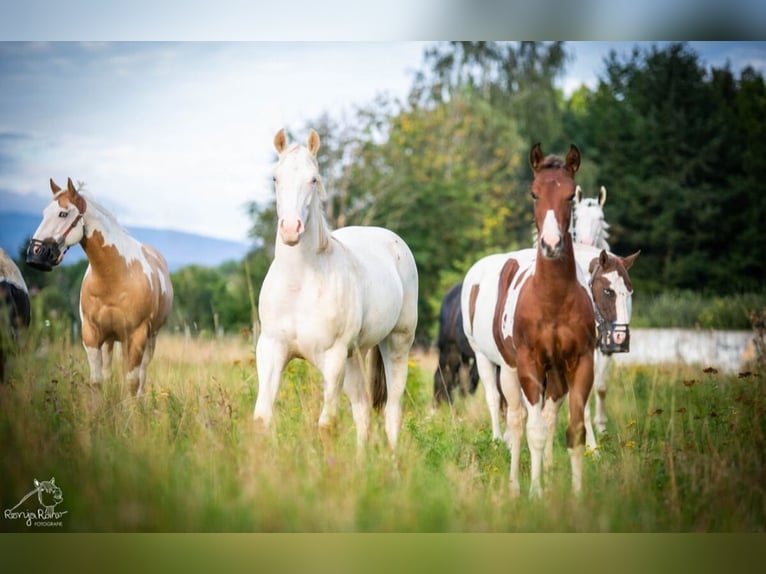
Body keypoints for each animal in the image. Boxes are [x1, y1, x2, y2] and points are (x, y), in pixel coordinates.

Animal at [26, 180, 174, 396]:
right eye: (45, 213)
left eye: (63, 213)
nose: (35, 253)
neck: (114, 276)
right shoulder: (91, 334)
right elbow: (97, 381)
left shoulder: (138, 335)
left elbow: (132, 382)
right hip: (111, 340)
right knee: (109, 372)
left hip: (149, 339)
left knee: (141, 376)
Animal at [252, 130, 420, 454]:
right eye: (275, 178)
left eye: (313, 179)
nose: (290, 229)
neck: (300, 283)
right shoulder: (271, 348)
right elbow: (262, 419)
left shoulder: (333, 358)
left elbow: (327, 425)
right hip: (355, 356)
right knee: (363, 411)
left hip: (396, 343)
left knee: (391, 411)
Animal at [462, 144, 600, 500]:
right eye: (534, 193)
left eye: (570, 196)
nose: (551, 244)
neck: (552, 298)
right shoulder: (529, 365)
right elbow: (532, 430)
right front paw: (535, 492)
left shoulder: (580, 362)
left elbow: (575, 429)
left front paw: (576, 494)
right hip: (504, 368)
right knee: (516, 419)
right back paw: (515, 483)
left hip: (555, 374)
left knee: (548, 416)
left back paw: (548, 472)